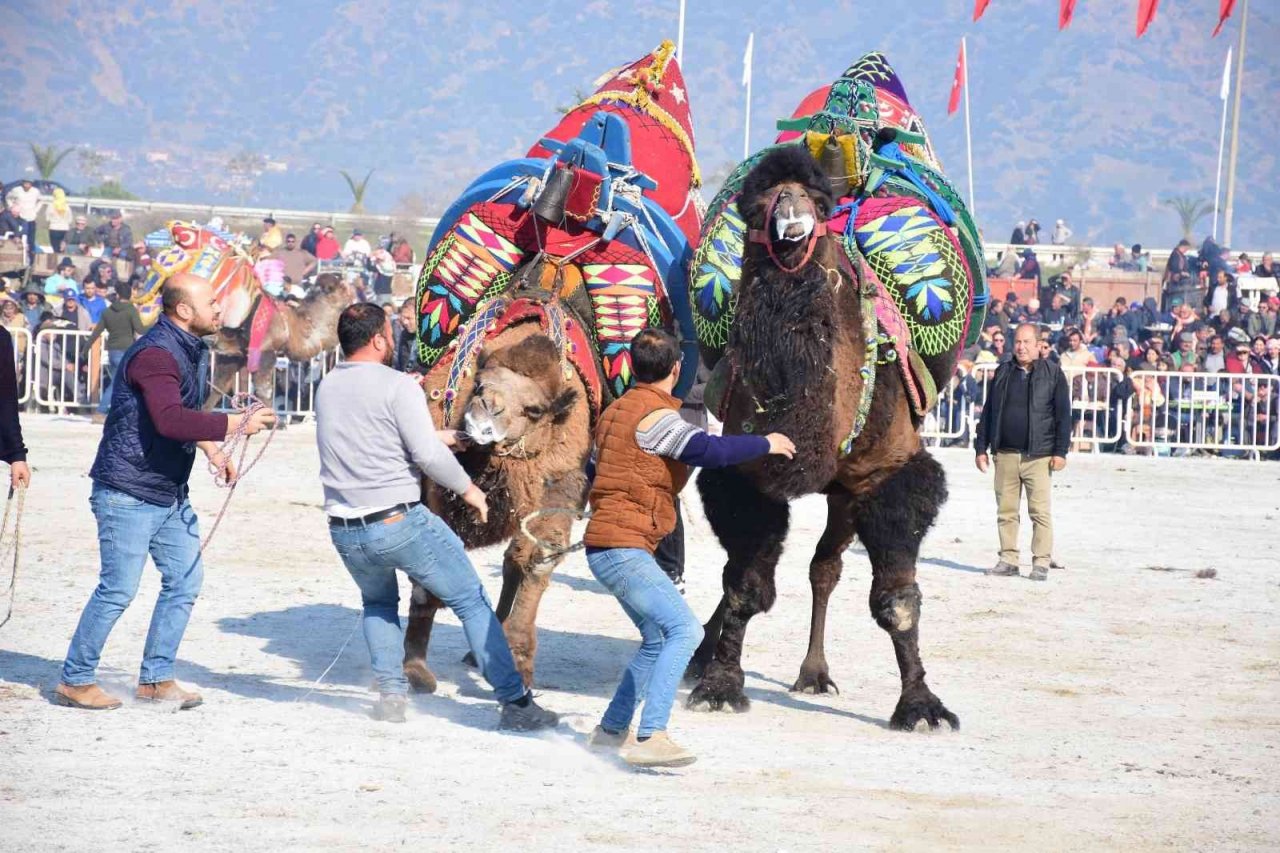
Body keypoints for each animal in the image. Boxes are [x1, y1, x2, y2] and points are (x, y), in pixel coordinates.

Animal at [686, 146, 962, 732]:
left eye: (816, 200)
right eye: (757, 203)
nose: (791, 212)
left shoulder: (888, 474)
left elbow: (896, 600)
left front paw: (921, 706)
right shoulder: (746, 472)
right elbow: (744, 585)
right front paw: (720, 684)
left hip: (848, 490)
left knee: (825, 566)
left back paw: (813, 673)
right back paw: (705, 656)